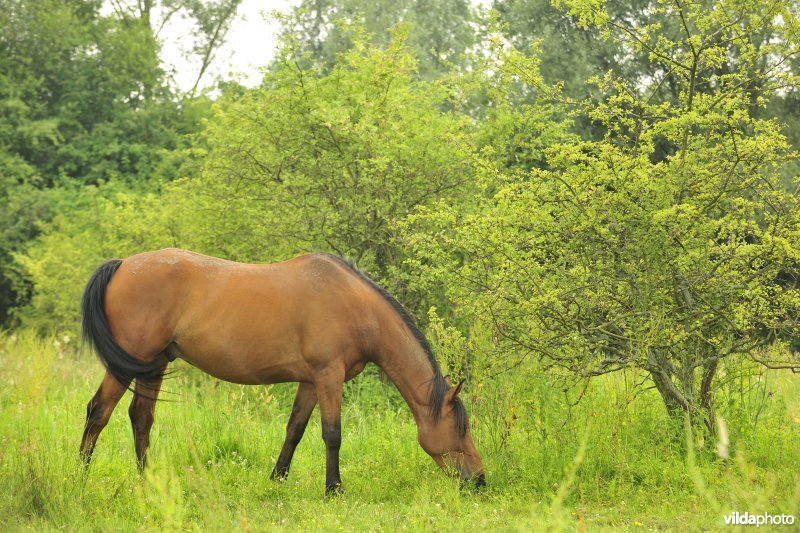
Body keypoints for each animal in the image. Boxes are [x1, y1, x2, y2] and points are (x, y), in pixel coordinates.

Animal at [78, 247, 484, 492]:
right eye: (461, 430)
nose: (479, 480)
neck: (354, 306)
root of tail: (122, 265)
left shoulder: (310, 381)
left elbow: (295, 429)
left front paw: (278, 478)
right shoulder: (329, 376)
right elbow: (332, 434)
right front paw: (333, 488)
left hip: (155, 364)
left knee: (141, 417)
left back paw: (148, 480)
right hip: (130, 361)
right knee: (99, 411)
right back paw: (80, 475)